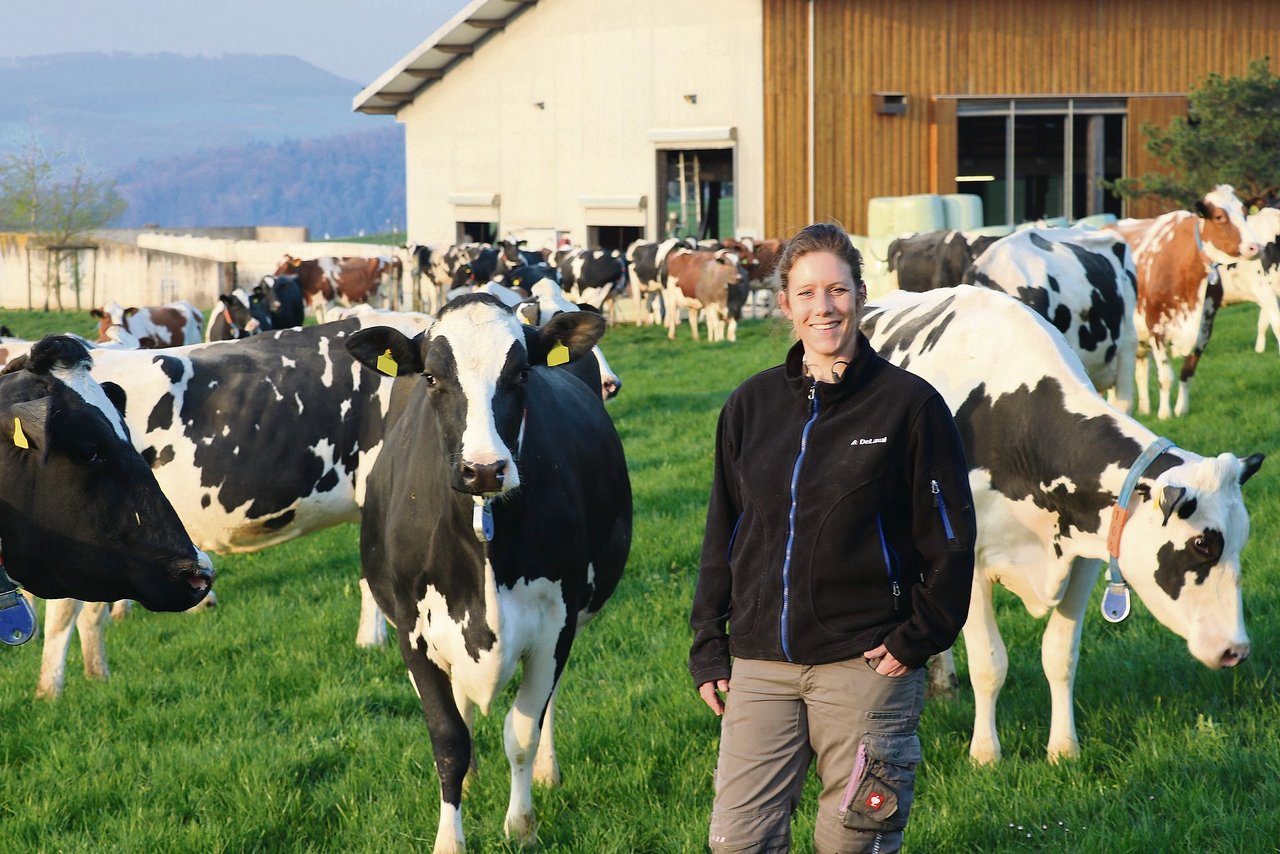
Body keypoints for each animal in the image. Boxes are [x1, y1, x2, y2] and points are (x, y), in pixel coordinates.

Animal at [348, 294, 632, 854]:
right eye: (432, 377)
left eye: (521, 373)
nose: (483, 469)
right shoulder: (412, 630)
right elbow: (448, 740)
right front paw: (450, 840)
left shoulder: (556, 622)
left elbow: (521, 729)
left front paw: (521, 825)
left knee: (545, 706)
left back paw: (546, 769)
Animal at [860, 285, 1259, 763]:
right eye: (1202, 544)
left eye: (1241, 543)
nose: (1236, 650)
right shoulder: (967, 561)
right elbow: (989, 663)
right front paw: (985, 755)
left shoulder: (1086, 552)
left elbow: (1060, 654)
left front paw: (1064, 748)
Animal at [1111, 185, 1259, 419]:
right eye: (1219, 216)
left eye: (1245, 212)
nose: (1254, 247)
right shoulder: (1156, 327)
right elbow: (1165, 376)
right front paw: (1165, 414)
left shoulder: (1205, 329)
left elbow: (1187, 372)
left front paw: (1182, 409)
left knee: (1140, 369)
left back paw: (1143, 408)